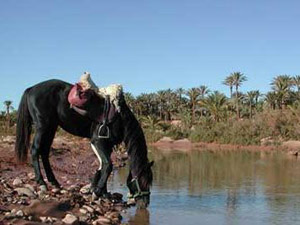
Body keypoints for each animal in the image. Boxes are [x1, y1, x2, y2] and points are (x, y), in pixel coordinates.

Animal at [14, 79, 154, 207]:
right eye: (144, 181)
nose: (146, 203)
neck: (120, 118)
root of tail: (31, 89)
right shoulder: (98, 142)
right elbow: (108, 165)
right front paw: (97, 192)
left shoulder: (107, 145)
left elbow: (102, 166)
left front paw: (101, 192)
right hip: (42, 126)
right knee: (35, 150)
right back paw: (42, 183)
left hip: (51, 128)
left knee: (44, 152)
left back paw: (54, 182)